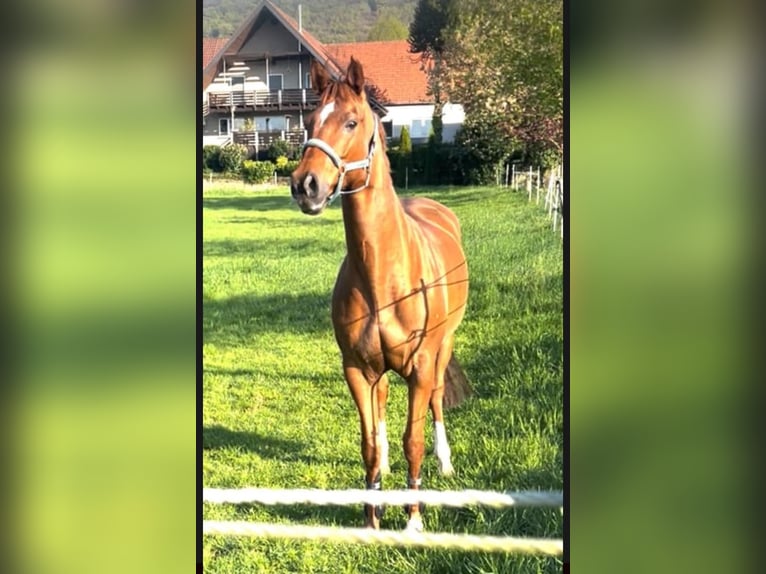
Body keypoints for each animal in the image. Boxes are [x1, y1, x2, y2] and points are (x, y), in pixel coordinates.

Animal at [292, 58, 472, 536]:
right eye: (308, 121)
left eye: (351, 121)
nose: (305, 185)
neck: (383, 277)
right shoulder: (357, 368)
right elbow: (369, 442)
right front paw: (371, 517)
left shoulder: (420, 366)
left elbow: (414, 439)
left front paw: (414, 520)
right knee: (384, 405)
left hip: (442, 348)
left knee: (436, 400)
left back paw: (444, 463)